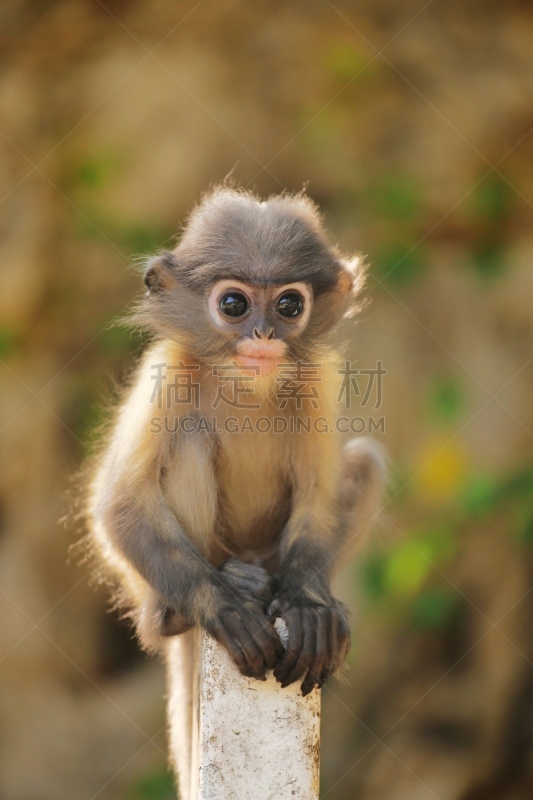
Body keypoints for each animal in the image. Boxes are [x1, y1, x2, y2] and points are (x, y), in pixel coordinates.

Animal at [86, 186, 382, 724]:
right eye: (233, 303)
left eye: (289, 304)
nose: (264, 333)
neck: (245, 383)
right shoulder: (169, 368)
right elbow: (121, 503)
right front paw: (221, 607)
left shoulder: (318, 379)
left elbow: (320, 498)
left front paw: (309, 605)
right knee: (188, 437)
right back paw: (188, 608)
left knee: (366, 462)